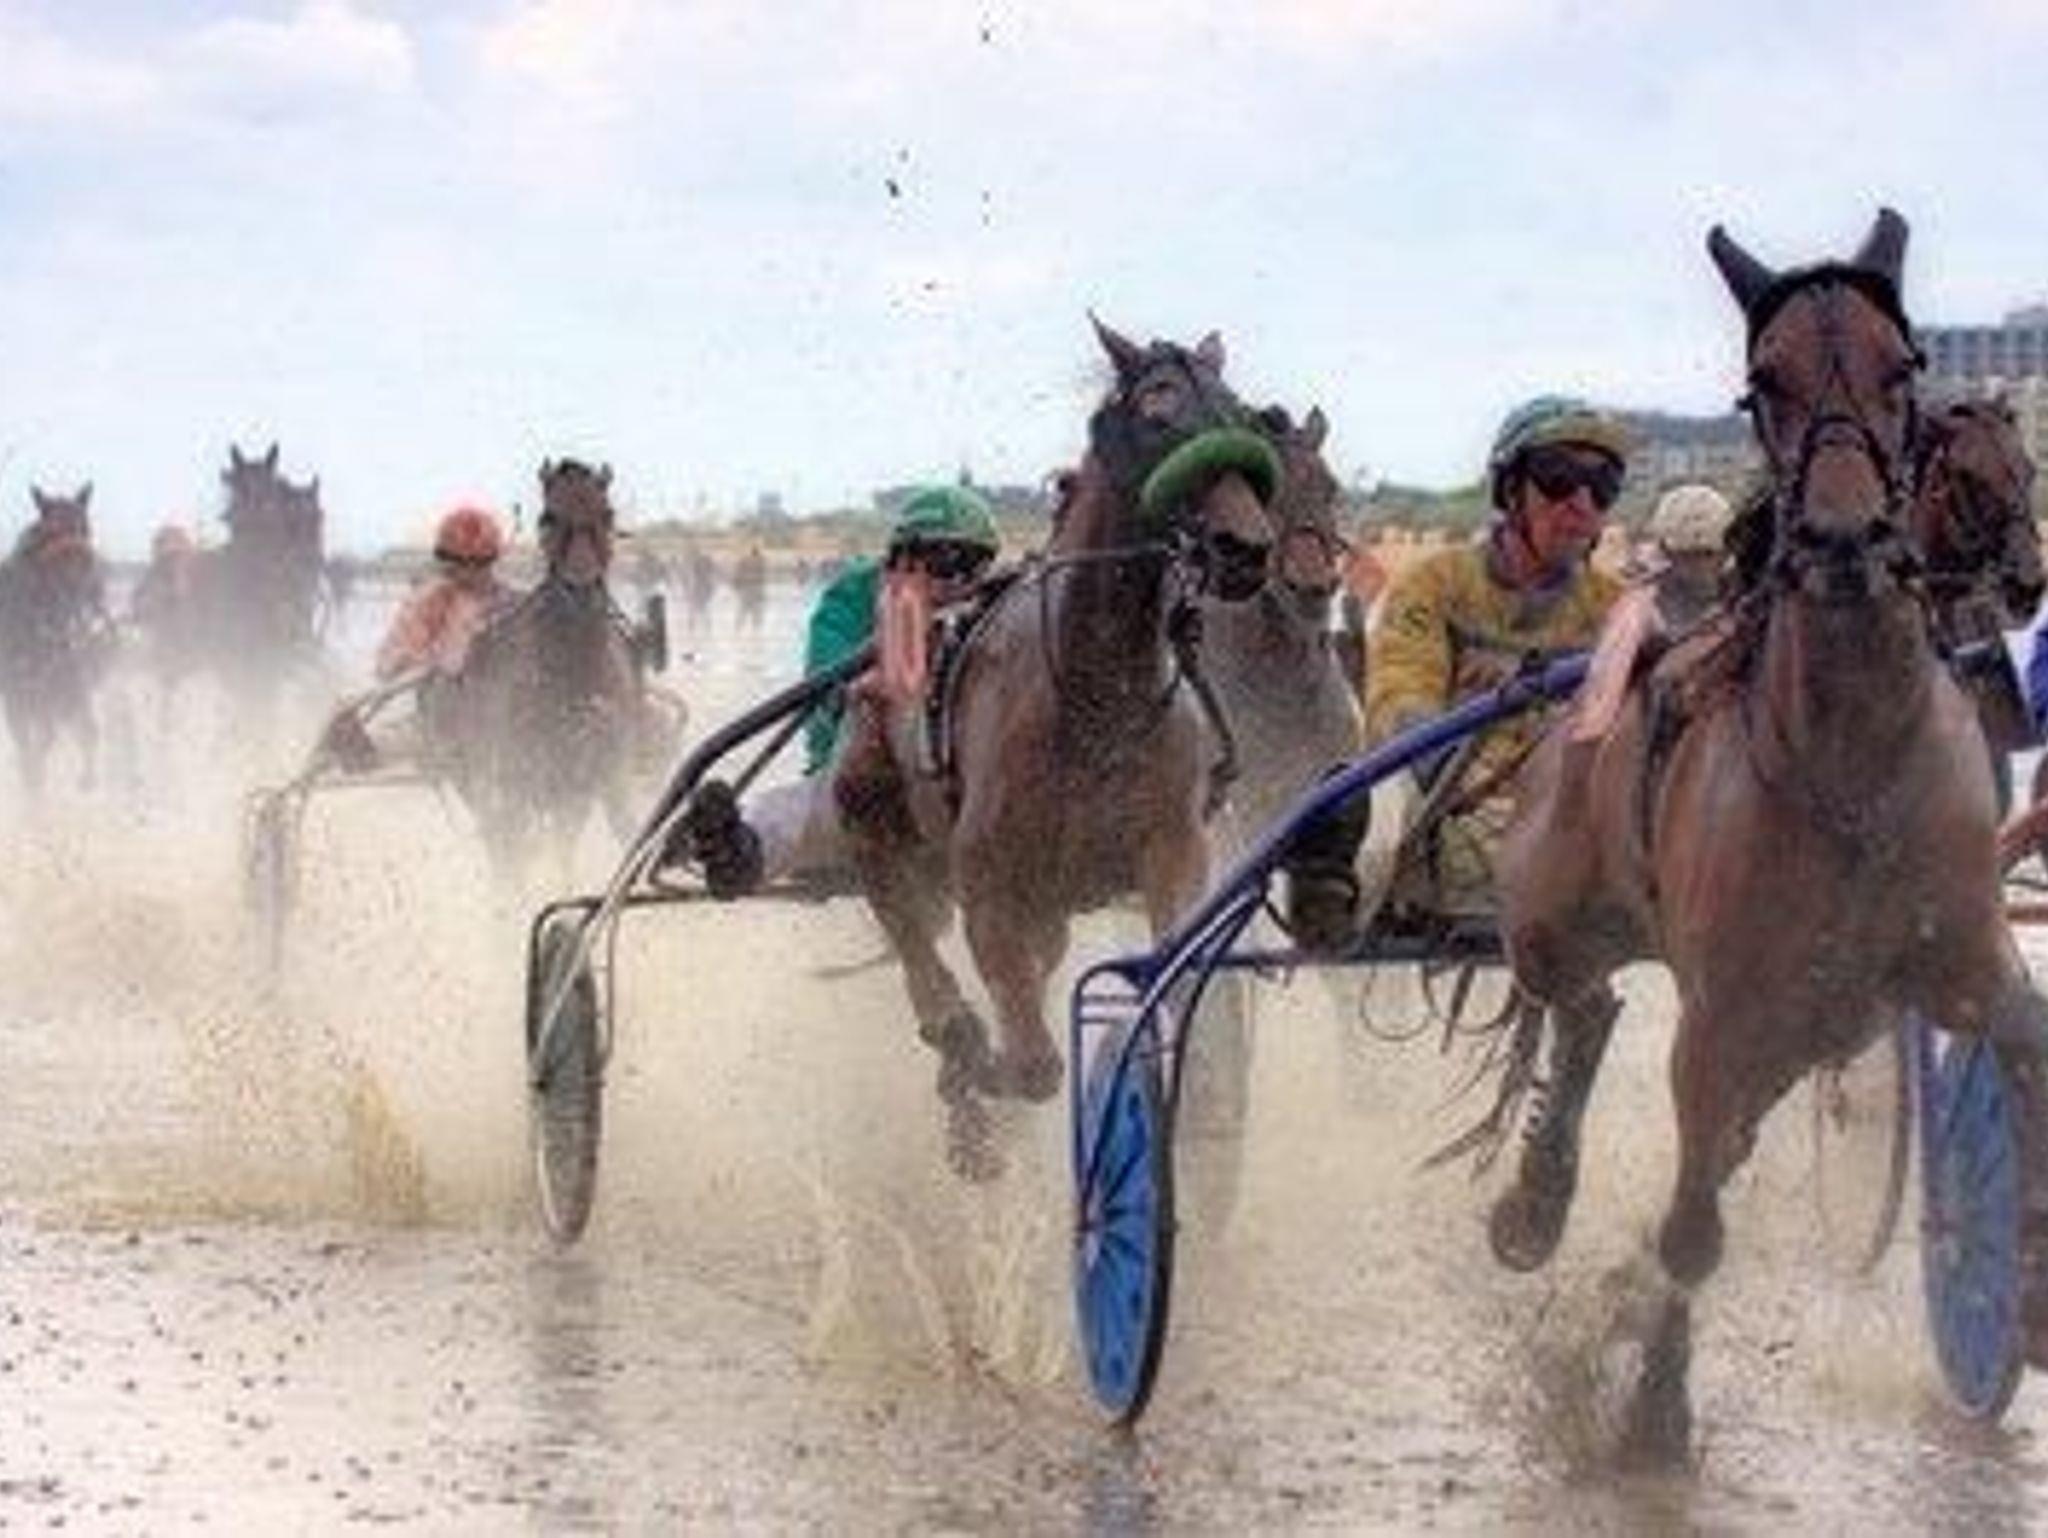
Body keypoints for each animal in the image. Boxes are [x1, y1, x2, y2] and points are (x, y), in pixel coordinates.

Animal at [0, 486, 112, 797]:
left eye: (85, 527)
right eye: (49, 531)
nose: (80, 576)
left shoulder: (62, 689)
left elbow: (51, 738)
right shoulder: (15, 697)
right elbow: (28, 749)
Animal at [434, 459, 662, 879]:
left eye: (607, 514)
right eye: (549, 516)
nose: (580, 588)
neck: (573, 671)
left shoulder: (608, 773)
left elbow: (625, 830)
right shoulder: (520, 773)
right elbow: (512, 847)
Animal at [830, 318, 1280, 1177]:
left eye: (1241, 411)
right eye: (1158, 411)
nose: (1245, 549)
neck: (1096, 699)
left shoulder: (1172, 850)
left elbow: (1173, 991)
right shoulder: (989, 881)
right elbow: (1033, 1063)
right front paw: (980, 1064)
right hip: (868, 809)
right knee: (907, 932)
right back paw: (955, 1049)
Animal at [1490, 208, 2048, 1458]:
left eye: (1903, 367)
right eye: (1763, 383)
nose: (1842, 540)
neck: (1851, 766)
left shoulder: (1959, 954)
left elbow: (2025, 1042)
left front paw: (2027, 1280)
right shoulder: (1718, 1021)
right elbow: (1691, 1231)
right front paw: (1654, 1406)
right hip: (1552, 909)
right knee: (1574, 1003)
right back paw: (1533, 1200)